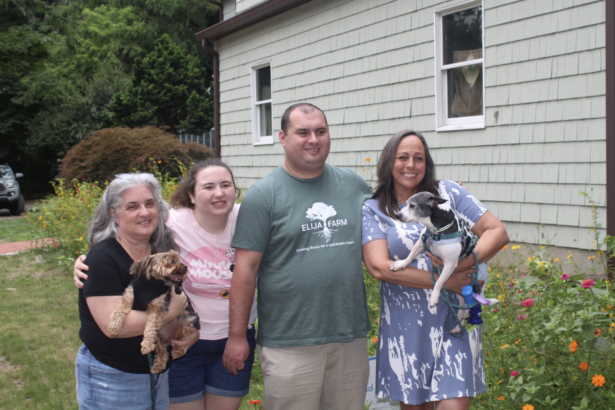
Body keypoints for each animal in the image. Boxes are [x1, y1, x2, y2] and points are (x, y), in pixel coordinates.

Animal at [392, 193, 498, 334]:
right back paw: (458, 321)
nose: (397, 215)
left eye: (413, 205)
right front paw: (401, 264)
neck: (436, 230)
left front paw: (434, 297)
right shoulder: (421, 243)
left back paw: (459, 325)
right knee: (462, 307)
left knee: (468, 309)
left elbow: (439, 281)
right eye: (406, 203)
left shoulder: (449, 265)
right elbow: (410, 256)